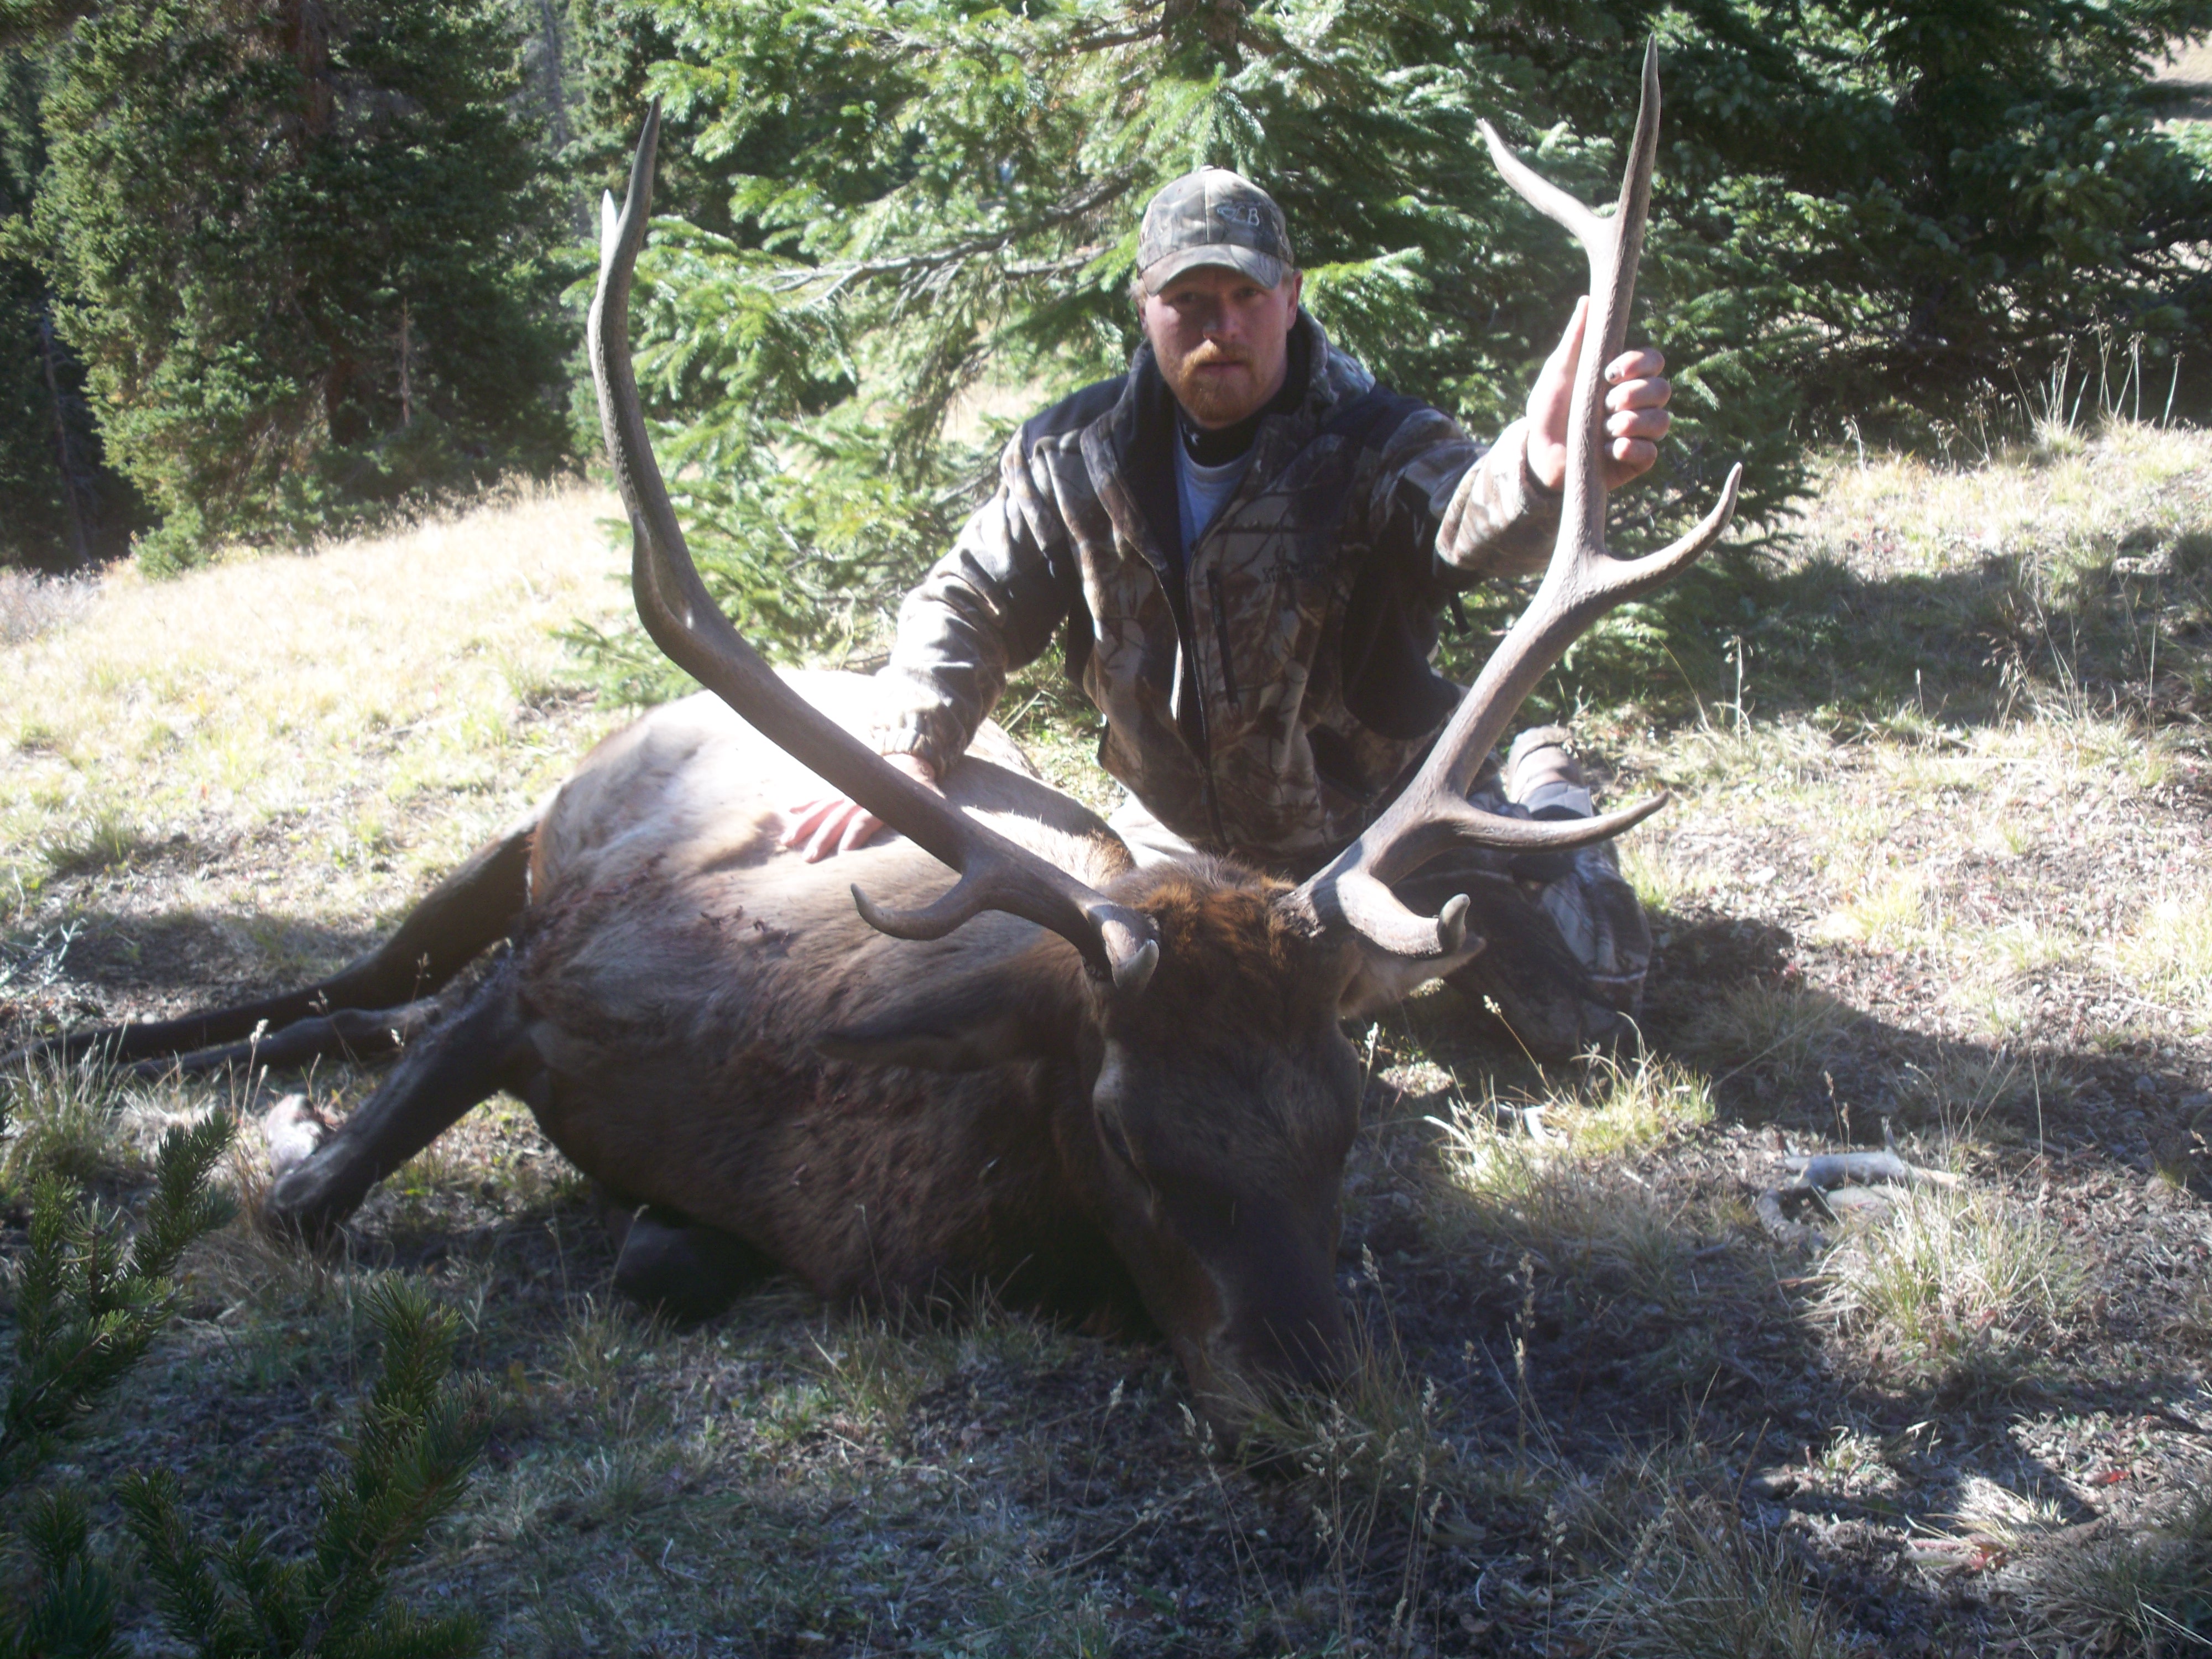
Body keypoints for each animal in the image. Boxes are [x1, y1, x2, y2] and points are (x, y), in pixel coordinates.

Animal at [11, 44, 1736, 1440]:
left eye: (1344, 1119)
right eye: (1128, 1135)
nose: (1323, 1401)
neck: (815, 1139)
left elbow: (655, 1253)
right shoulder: (545, 984)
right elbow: (311, 1200)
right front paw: (283, 1135)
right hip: (512, 847)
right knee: (342, 983)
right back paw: (102, 1043)